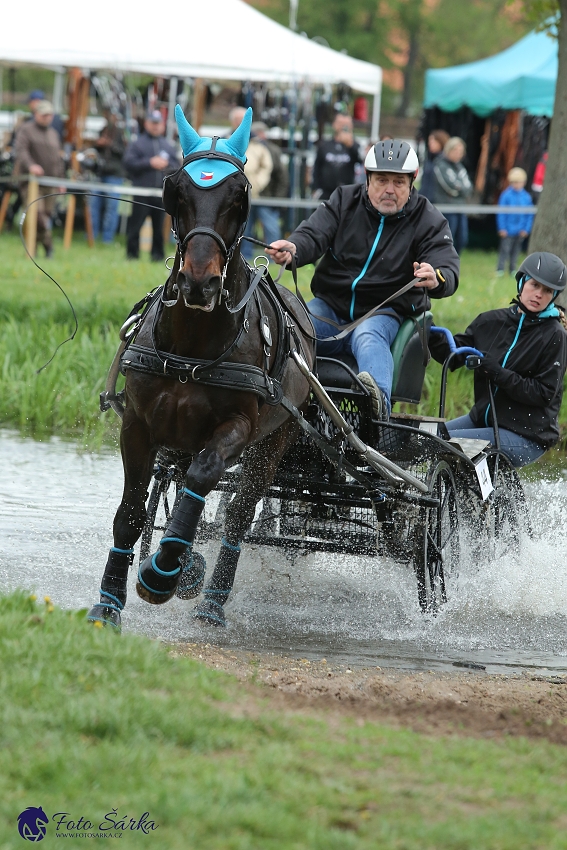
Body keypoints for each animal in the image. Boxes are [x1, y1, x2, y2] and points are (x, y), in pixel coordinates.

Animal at [86, 106, 312, 628]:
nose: (198, 281)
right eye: (177, 192)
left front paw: (163, 571)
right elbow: (130, 513)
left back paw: (211, 598)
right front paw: (109, 602)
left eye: (239, 196)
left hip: (275, 440)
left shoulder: (239, 427)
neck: (191, 347)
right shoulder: (139, 424)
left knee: (238, 513)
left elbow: (205, 478)